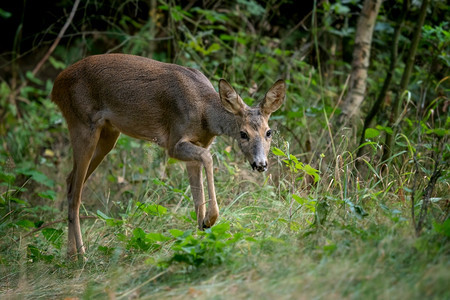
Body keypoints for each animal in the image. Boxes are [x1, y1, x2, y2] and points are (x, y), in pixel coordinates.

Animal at [51, 54, 284, 258]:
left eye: (269, 132)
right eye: (243, 134)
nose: (261, 164)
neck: (204, 114)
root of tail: (56, 85)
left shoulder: (197, 145)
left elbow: (197, 199)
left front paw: (201, 237)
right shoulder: (174, 141)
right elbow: (208, 158)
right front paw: (210, 220)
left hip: (109, 133)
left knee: (70, 180)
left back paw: (70, 255)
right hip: (82, 123)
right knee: (75, 192)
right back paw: (81, 255)